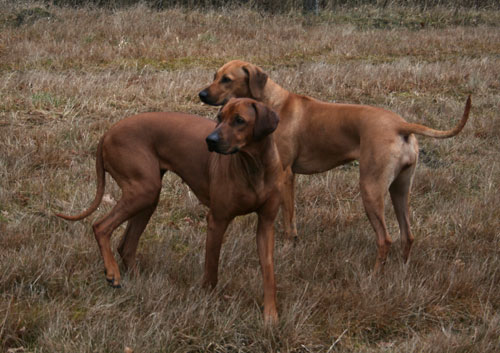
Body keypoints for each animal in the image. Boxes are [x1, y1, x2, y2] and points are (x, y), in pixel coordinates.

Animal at [56, 97, 284, 324]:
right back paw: (113, 272)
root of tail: (108, 133)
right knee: (100, 226)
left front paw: (270, 314)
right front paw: (209, 304)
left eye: (239, 120)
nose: (210, 140)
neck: (255, 167)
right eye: (219, 117)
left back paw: (138, 283)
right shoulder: (217, 220)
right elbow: (211, 269)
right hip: (144, 190)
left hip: (148, 196)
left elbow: (269, 271)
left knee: (126, 245)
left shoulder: (266, 224)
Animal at [197, 59, 470, 270]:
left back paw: (374, 276)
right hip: (400, 190)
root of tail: (400, 125)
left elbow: (288, 219)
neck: (272, 104)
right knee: (408, 234)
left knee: (385, 239)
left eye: (227, 79)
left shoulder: (285, 175)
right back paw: (402, 271)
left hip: (370, 188)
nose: (201, 94)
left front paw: (288, 246)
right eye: (215, 76)